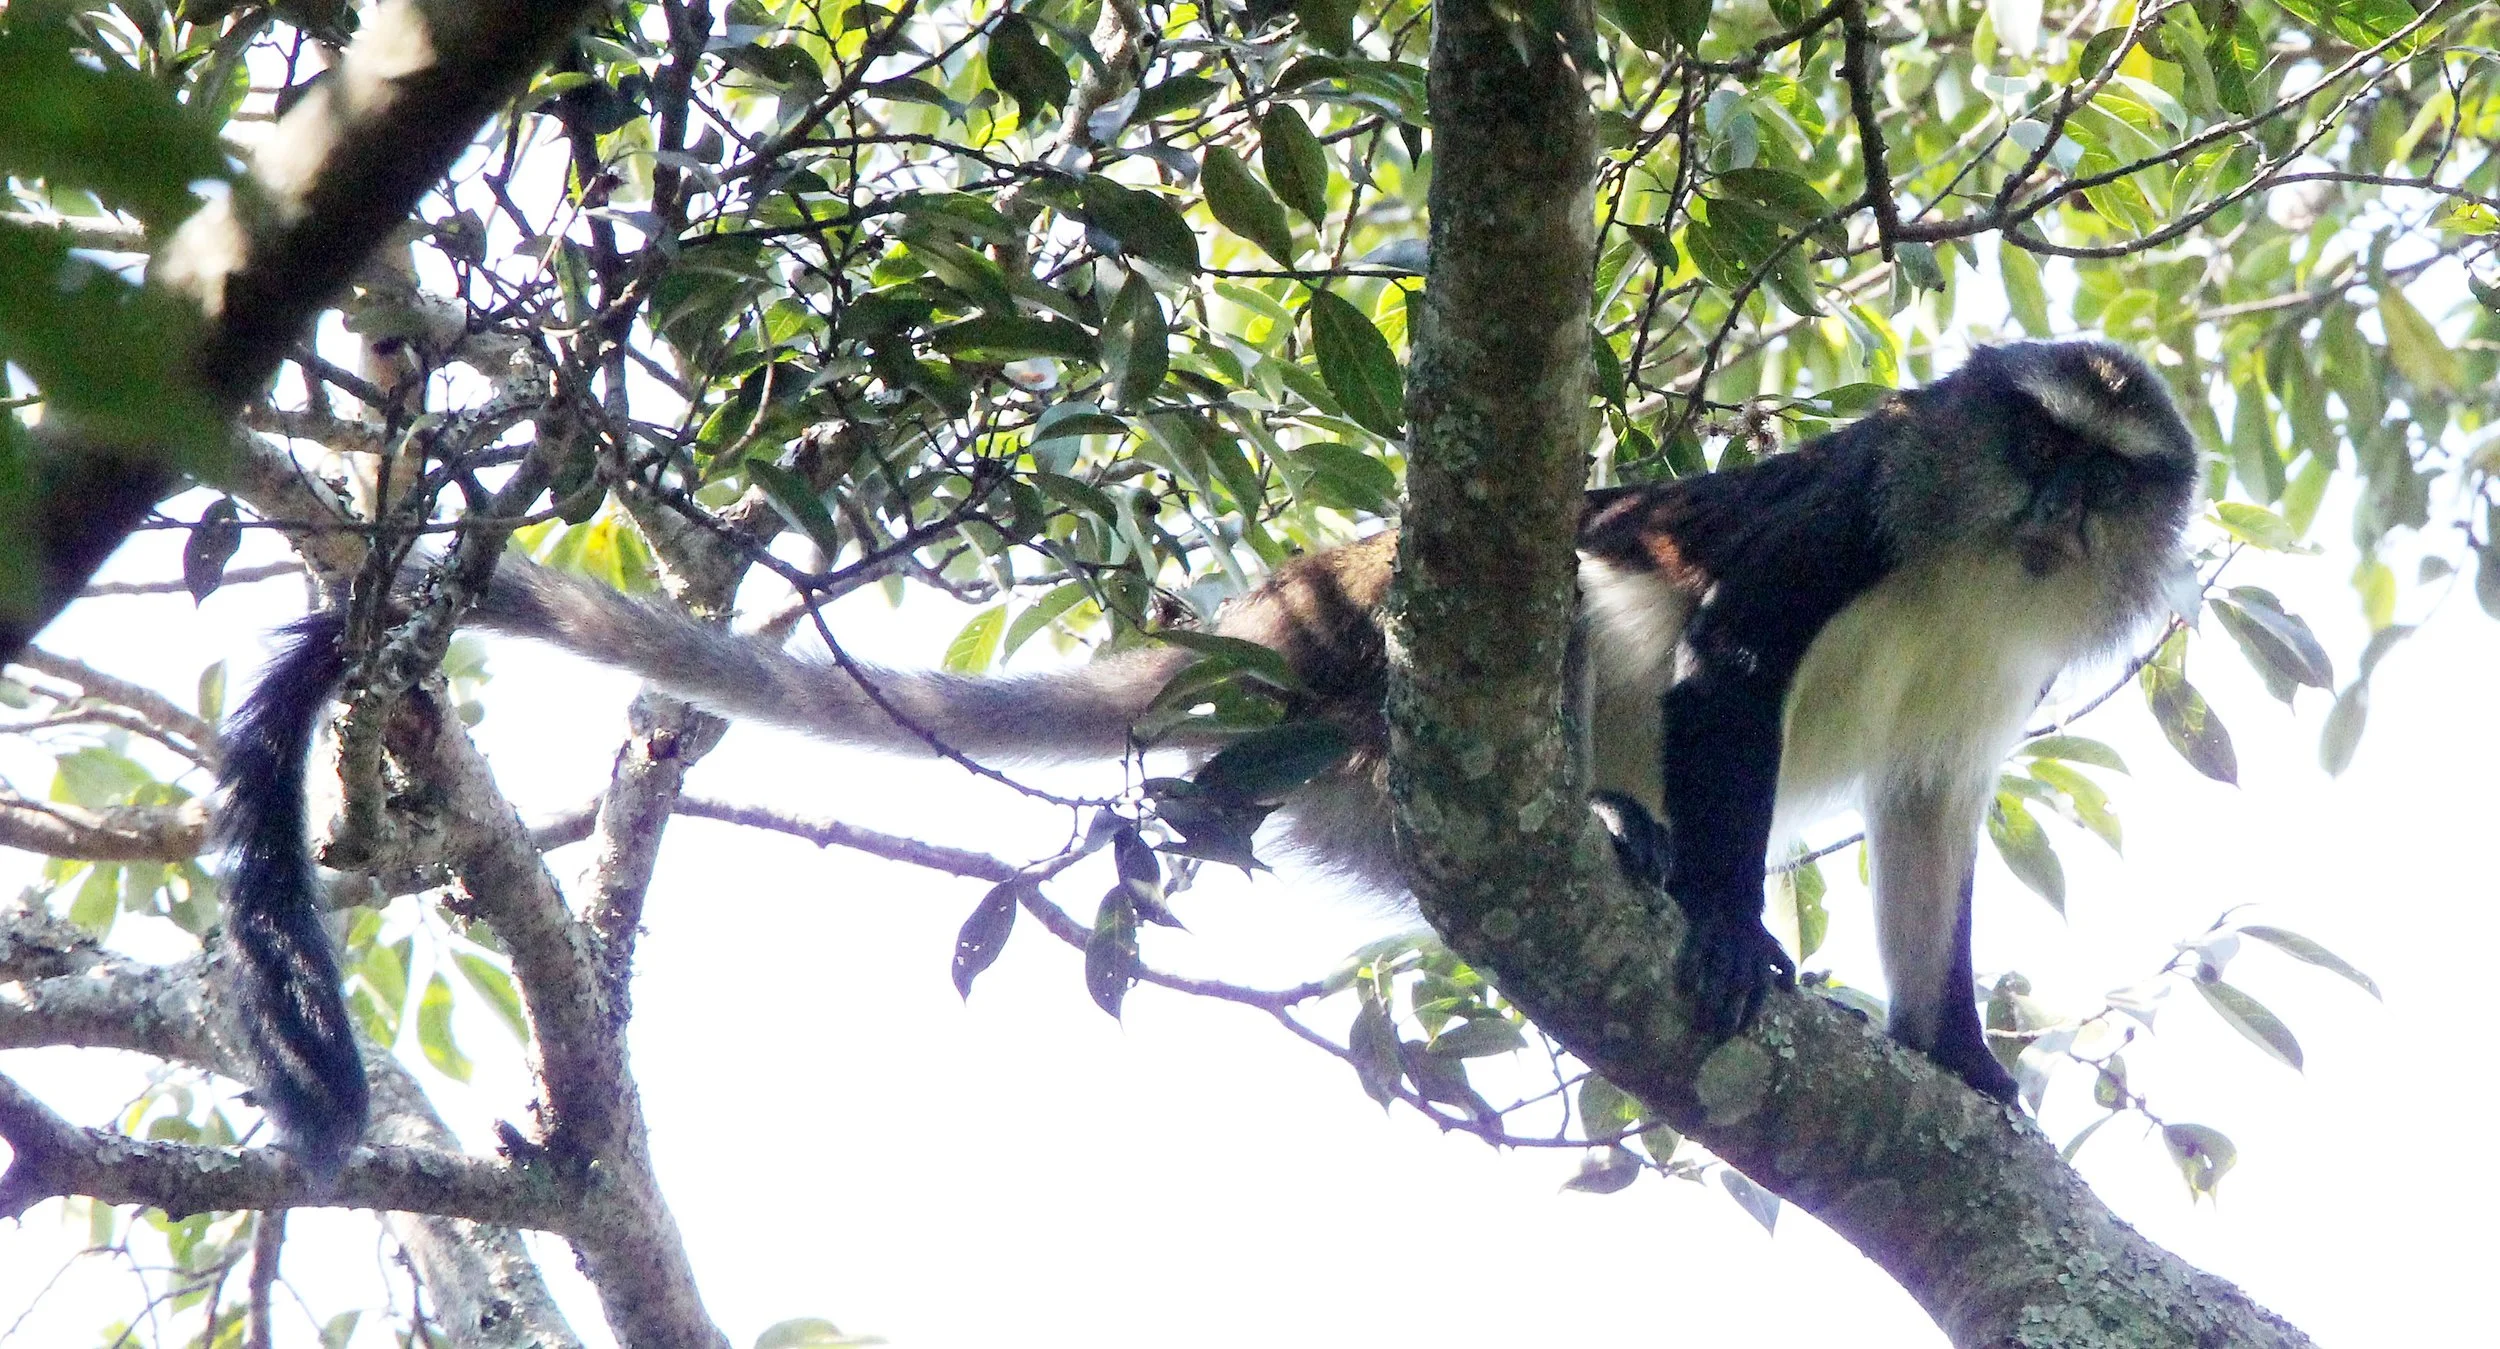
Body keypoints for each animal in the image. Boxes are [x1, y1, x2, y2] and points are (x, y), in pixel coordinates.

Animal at [217, 339, 2199, 1172]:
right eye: (2032, 440)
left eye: (2104, 474)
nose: (2051, 510)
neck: (1976, 557)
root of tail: (1261, 627)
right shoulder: (1853, 514)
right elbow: (1725, 655)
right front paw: (1723, 923)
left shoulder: (1989, 701)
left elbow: (1933, 816)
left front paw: (1958, 1056)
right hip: (1368, 656)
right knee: (1543, 608)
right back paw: (1596, 835)